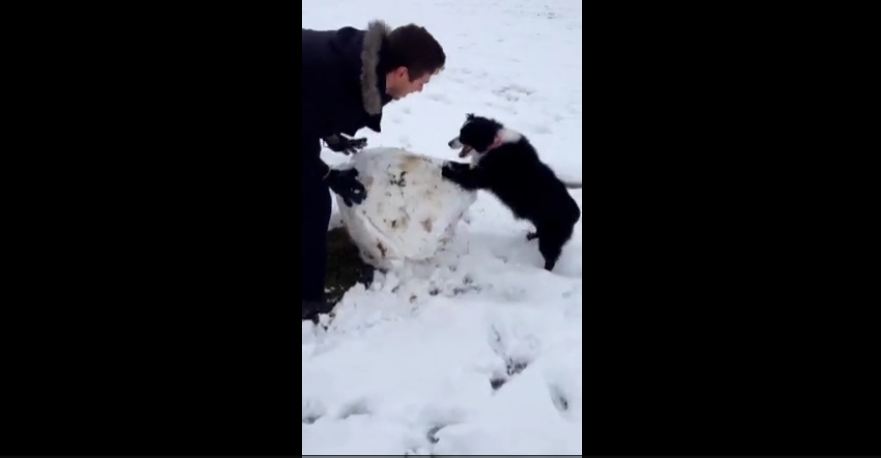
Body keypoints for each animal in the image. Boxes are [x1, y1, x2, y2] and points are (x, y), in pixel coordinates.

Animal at [444, 114, 580, 272]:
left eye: (464, 135)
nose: (449, 143)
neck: (493, 142)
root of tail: (575, 213)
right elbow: (462, 167)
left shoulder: (482, 177)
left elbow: (464, 175)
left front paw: (446, 171)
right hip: (542, 226)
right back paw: (531, 236)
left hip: (551, 238)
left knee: (550, 259)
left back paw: (544, 272)